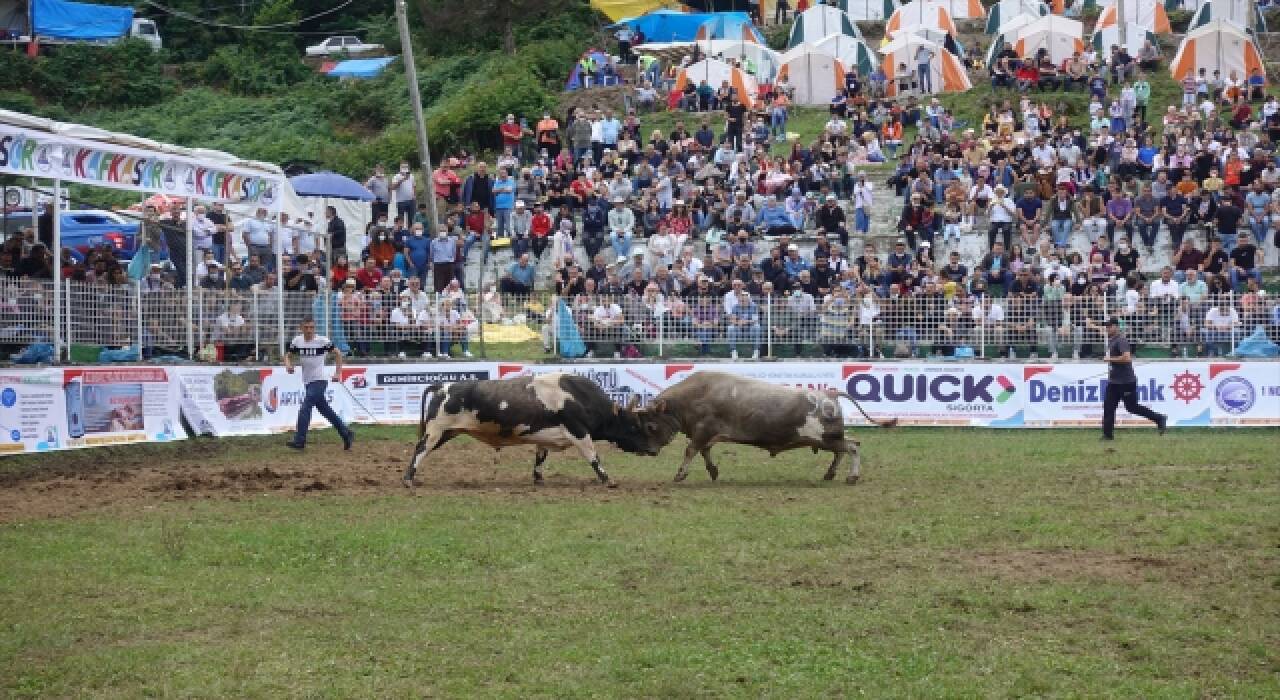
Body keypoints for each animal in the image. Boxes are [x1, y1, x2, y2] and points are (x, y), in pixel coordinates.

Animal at [401, 373, 665, 488]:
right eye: (635, 426)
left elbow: (540, 458)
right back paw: (408, 479)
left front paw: (538, 479)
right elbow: (593, 457)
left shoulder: (545, 437)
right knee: (420, 449)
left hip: (447, 432)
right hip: (437, 430)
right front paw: (608, 480)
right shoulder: (579, 431)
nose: (653, 450)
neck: (578, 397)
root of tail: (443, 386)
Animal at [645, 373, 896, 481]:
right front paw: (713, 471)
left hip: (827, 438)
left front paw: (680, 474)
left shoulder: (702, 431)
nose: (648, 451)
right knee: (845, 448)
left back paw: (851, 476)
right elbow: (705, 451)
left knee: (852, 447)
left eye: (650, 425)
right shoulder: (707, 434)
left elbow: (691, 450)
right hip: (829, 439)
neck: (696, 394)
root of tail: (830, 394)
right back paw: (830, 474)